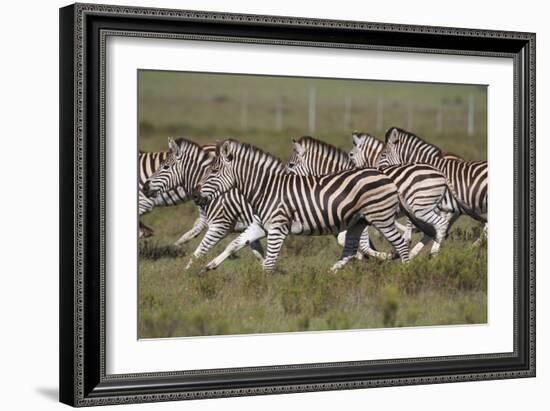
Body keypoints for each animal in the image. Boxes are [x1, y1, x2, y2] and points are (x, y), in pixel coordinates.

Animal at [144, 137, 266, 268]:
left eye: (165, 167)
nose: (144, 187)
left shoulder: (219, 227)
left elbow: (197, 254)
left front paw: (187, 272)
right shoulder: (247, 227)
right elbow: (259, 255)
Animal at [194, 139, 410, 274]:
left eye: (213, 171)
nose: (195, 195)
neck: (266, 188)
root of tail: (384, 175)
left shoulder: (278, 228)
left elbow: (269, 264)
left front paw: (264, 291)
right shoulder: (261, 226)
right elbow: (235, 244)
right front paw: (208, 266)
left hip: (381, 218)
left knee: (400, 244)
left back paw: (408, 272)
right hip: (359, 221)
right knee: (351, 250)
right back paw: (328, 277)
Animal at [292, 137, 450, 256]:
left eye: (291, 164)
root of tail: (440, 174)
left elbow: (353, 241)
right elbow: (347, 240)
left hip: (421, 207)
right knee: (431, 230)